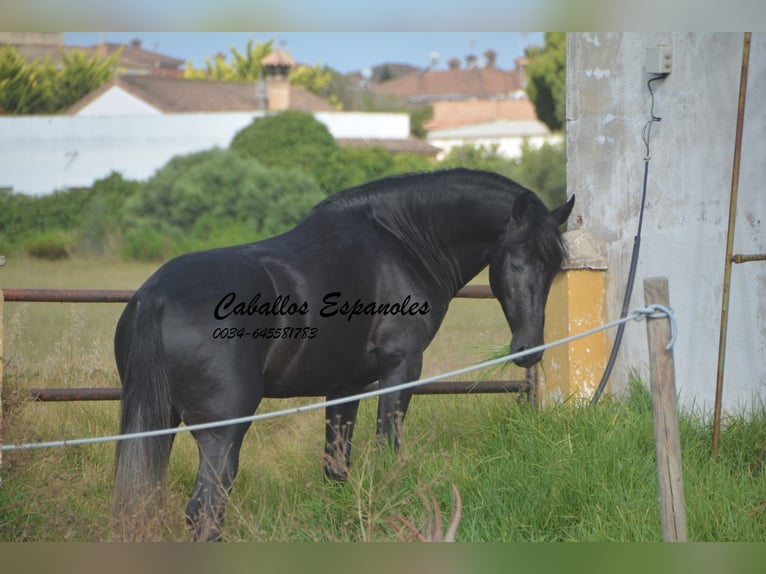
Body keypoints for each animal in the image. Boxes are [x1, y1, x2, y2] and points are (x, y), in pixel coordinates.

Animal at [111, 166, 572, 540]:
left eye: (553, 267)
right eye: (517, 261)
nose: (530, 351)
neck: (401, 241)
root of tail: (156, 297)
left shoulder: (345, 385)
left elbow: (336, 468)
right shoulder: (401, 367)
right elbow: (389, 451)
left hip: (160, 421)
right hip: (222, 431)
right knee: (206, 510)